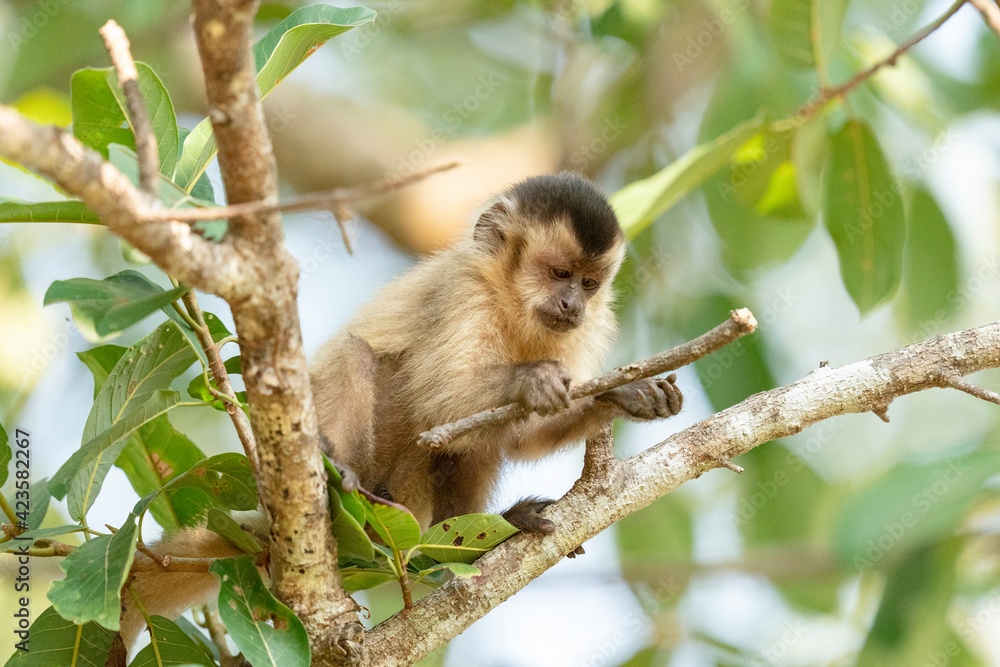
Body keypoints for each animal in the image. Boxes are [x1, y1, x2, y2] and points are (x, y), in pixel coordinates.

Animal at [311, 171, 683, 534]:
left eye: (589, 283)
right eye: (560, 273)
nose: (573, 304)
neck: (512, 304)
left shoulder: (587, 327)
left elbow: (520, 436)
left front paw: (622, 394)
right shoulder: (466, 289)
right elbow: (440, 401)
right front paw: (533, 379)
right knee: (353, 354)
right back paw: (341, 474)